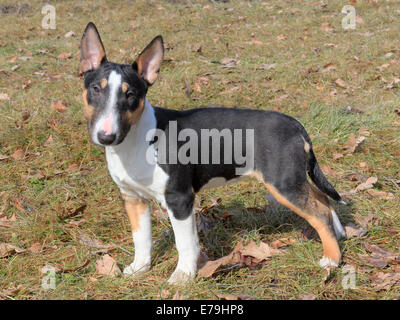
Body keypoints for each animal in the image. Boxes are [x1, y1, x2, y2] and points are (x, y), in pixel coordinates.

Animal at [79, 21, 346, 282]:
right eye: (95, 89)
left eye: (131, 95)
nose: (106, 136)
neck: (136, 140)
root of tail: (296, 125)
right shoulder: (133, 198)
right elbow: (141, 238)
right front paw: (139, 268)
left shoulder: (179, 199)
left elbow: (185, 243)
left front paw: (182, 277)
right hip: (293, 179)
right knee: (321, 199)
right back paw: (340, 233)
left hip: (283, 184)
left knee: (319, 213)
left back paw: (331, 259)